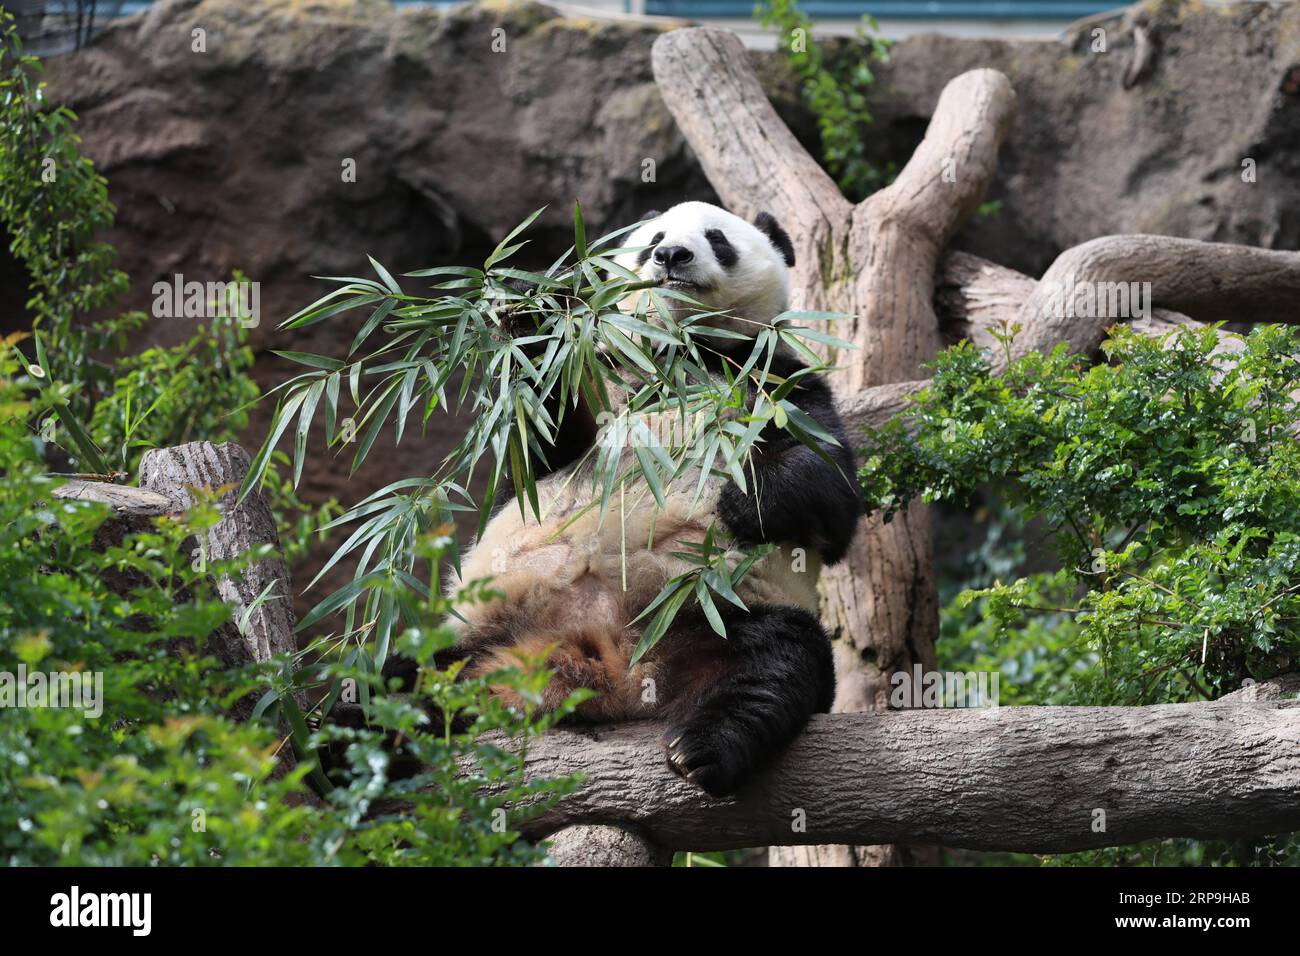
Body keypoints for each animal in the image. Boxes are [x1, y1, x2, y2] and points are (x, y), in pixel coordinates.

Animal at [447, 197, 863, 796]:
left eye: (717, 238)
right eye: (653, 241)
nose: (672, 256)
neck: (680, 353)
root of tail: (610, 665)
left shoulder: (772, 374)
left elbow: (831, 492)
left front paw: (741, 503)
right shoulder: (603, 366)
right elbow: (537, 440)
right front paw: (527, 309)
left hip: (723, 608)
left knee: (778, 664)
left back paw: (703, 749)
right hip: (476, 629)